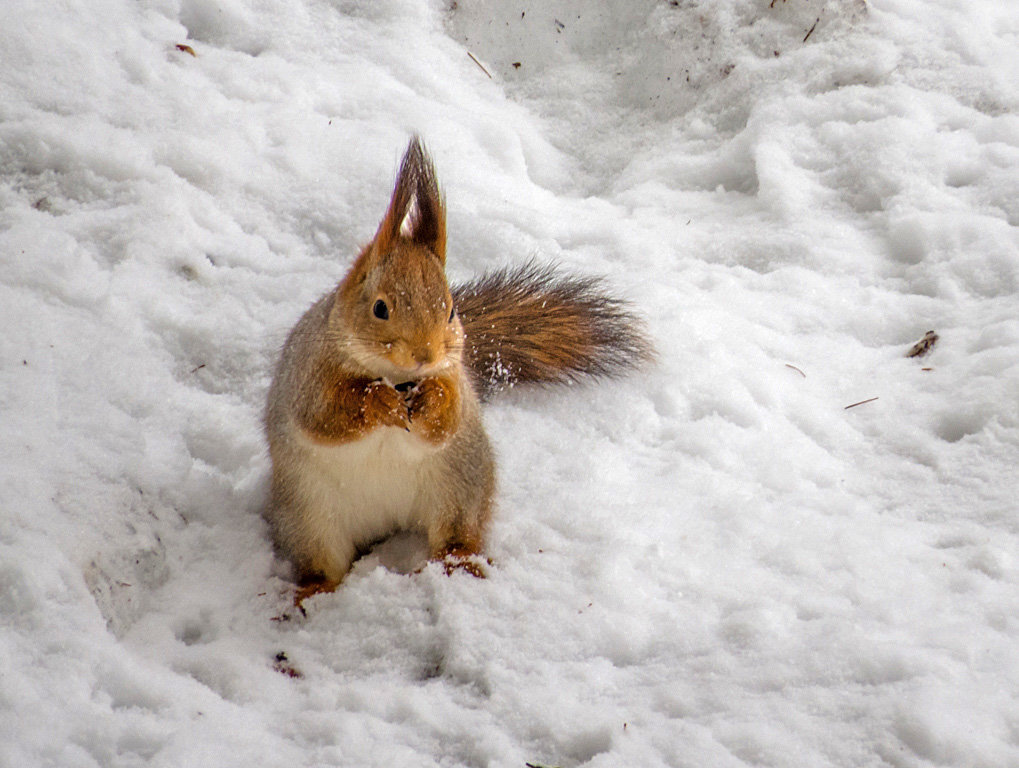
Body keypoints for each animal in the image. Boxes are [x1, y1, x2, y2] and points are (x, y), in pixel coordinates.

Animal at [264, 139, 652, 602]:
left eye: (450, 311)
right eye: (380, 308)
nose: (425, 355)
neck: (396, 376)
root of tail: (386, 522)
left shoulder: (455, 377)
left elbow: (447, 419)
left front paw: (431, 400)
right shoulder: (310, 374)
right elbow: (326, 415)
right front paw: (378, 403)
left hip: (460, 487)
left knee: (455, 536)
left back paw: (458, 564)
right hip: (308, 518)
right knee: (323, 560)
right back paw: (315, 591)